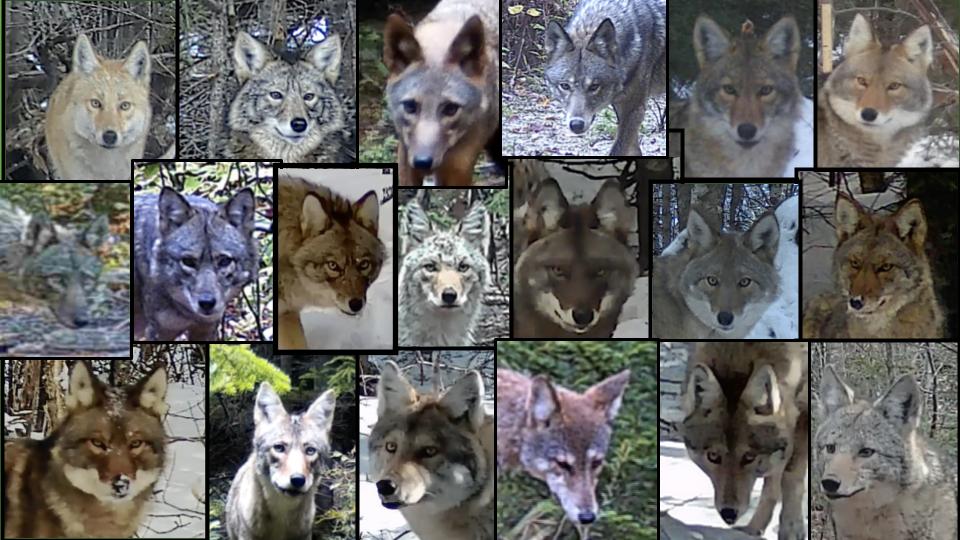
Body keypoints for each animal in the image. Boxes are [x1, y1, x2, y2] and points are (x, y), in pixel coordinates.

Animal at [680, 342, 808, 539]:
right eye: (713, 456)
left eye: (749, 457)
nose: (728, 514)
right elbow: (773, 485)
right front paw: (755, 529)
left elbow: (789, 479)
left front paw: (791, 528)